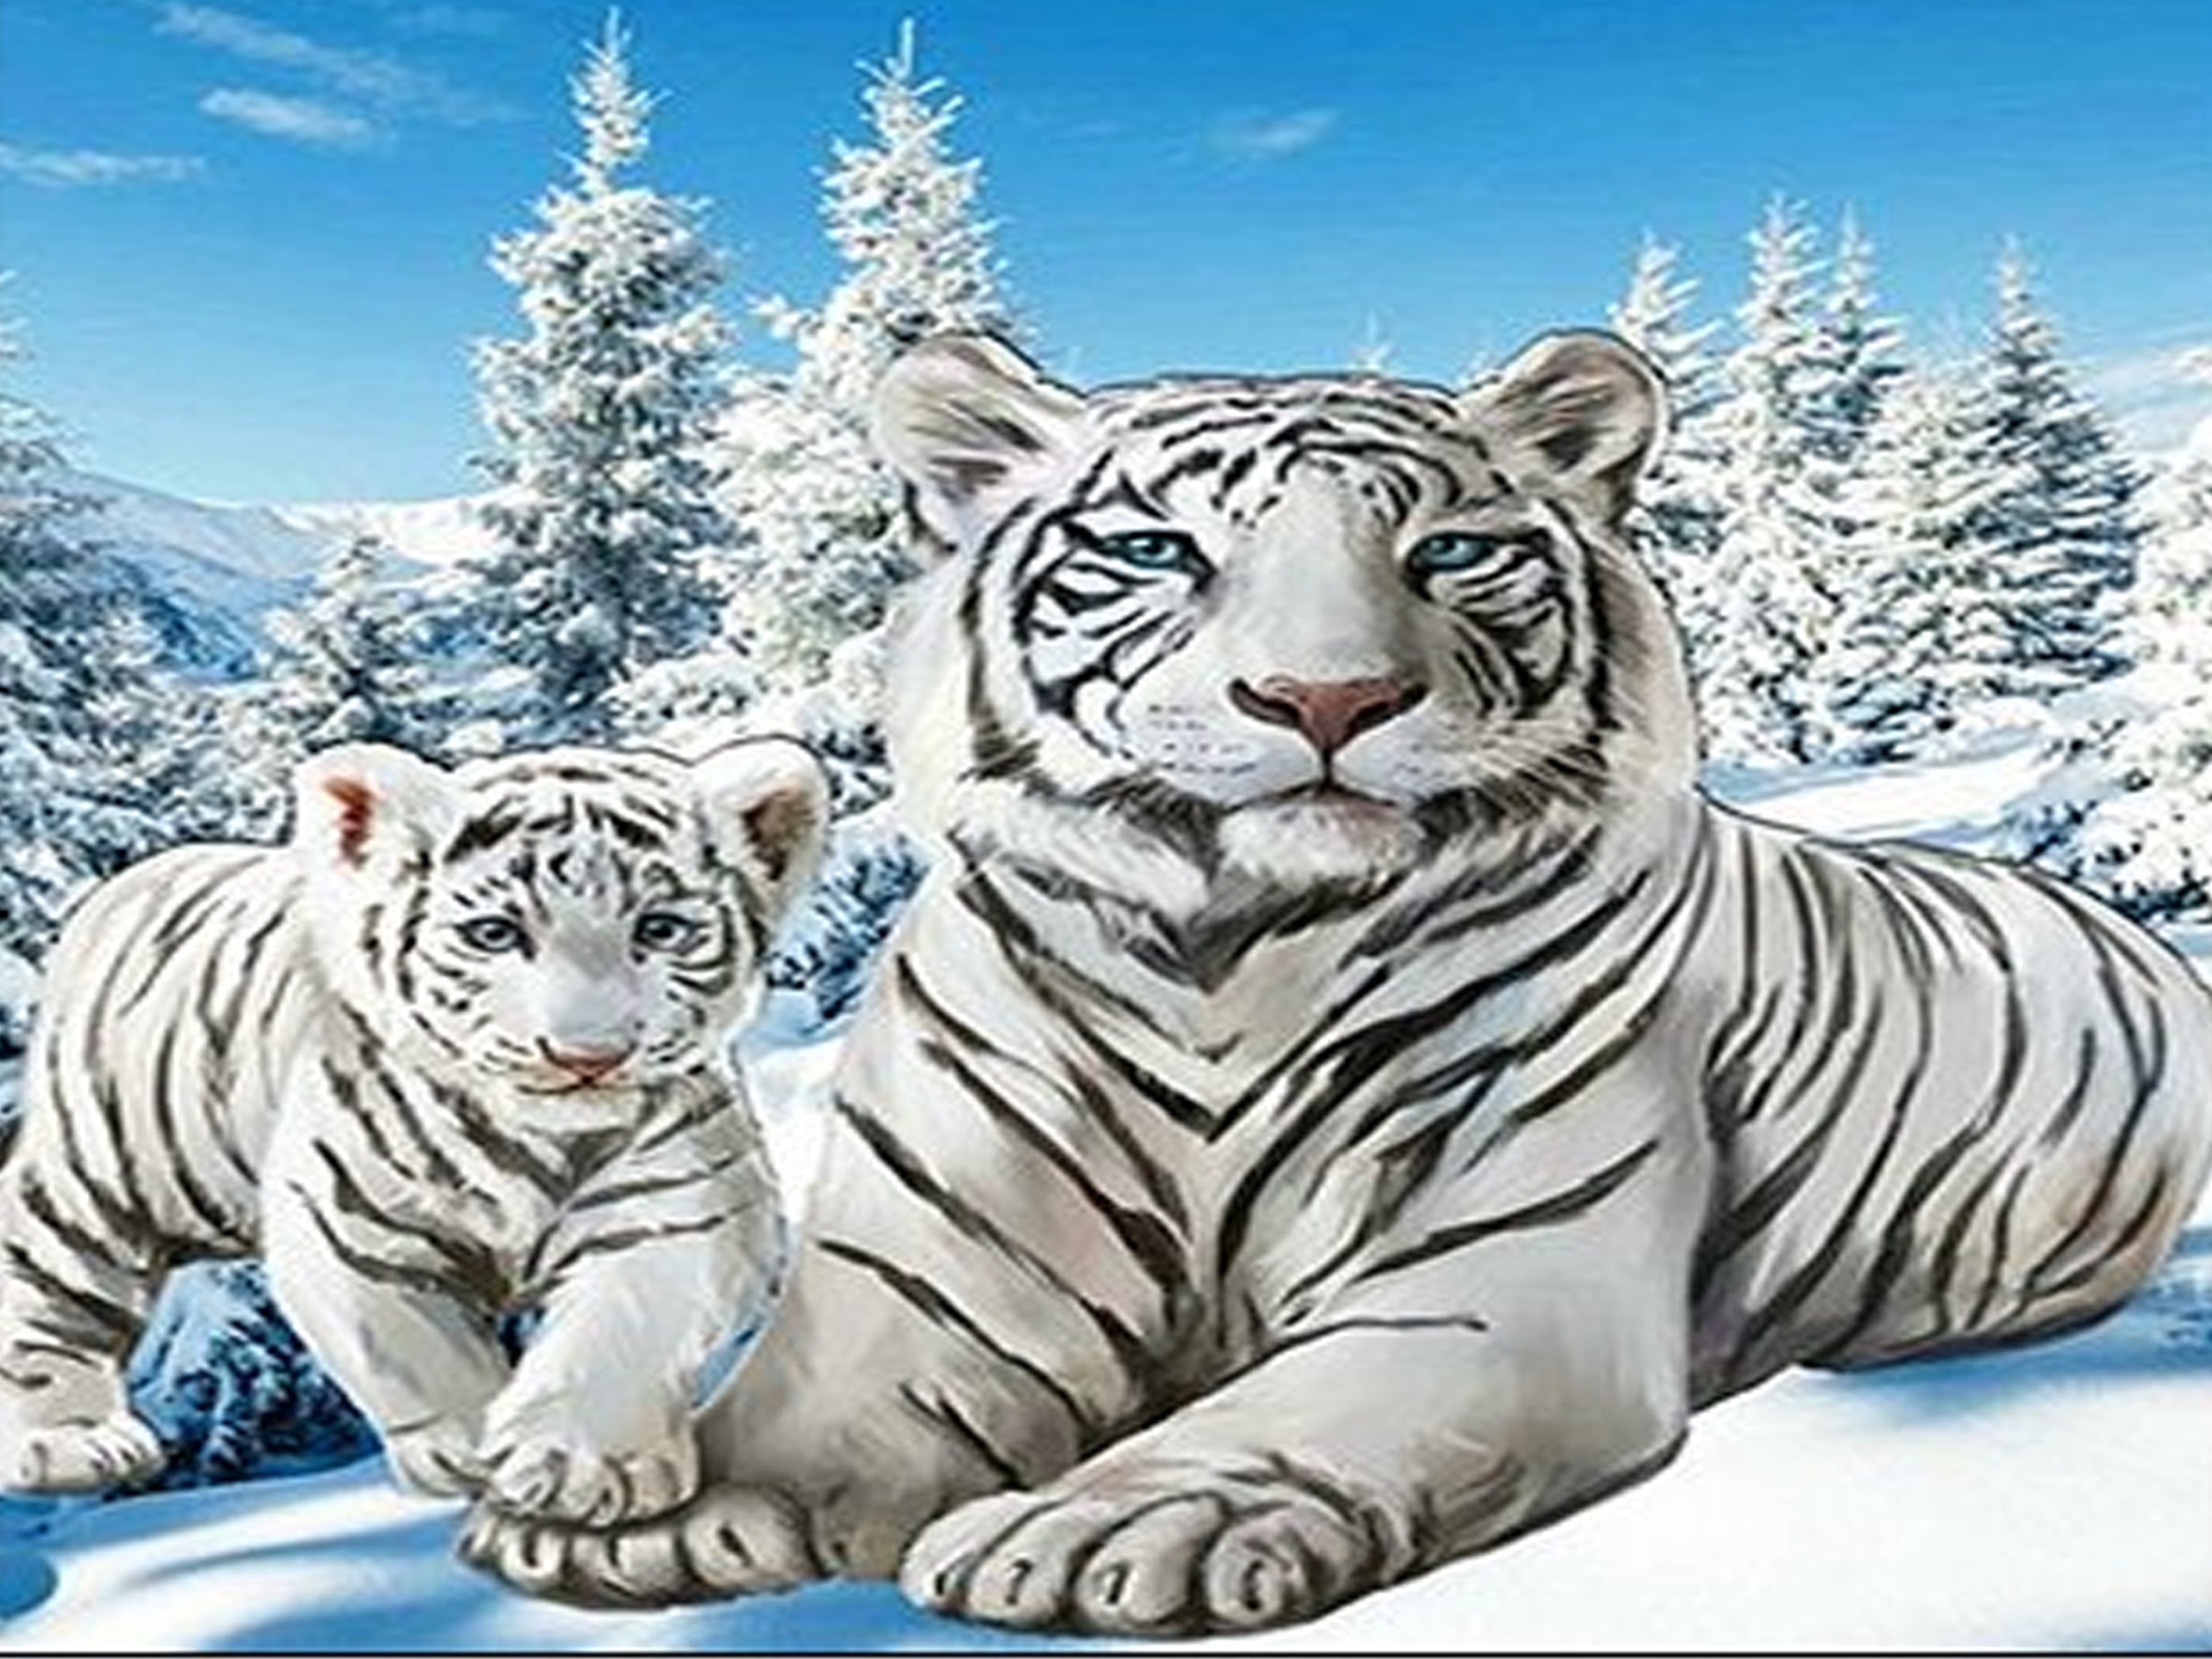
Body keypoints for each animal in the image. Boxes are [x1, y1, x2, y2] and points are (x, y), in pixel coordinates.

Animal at [0, 735, 827, 1528]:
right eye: (495, 933)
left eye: (659, 930)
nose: (587, 1057)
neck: (545, 1138)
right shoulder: (351, 1224)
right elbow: (417, 1348)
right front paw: (471, 1451)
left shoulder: (679, 1207)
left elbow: (622, 1335)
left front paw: (586, 1471)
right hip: (100, 1168)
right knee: (47, 1268)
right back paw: (69, 1440)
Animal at [458, 331, 2212, 1635]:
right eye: (1154, 550)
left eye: (1447, 550)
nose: (1325, 698)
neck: (1223, 954)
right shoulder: (928, 1277)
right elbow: (806, 1410)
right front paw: (653, 1505)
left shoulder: (1492, 1278)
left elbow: (1286, 1412)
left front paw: (1110, 1532)